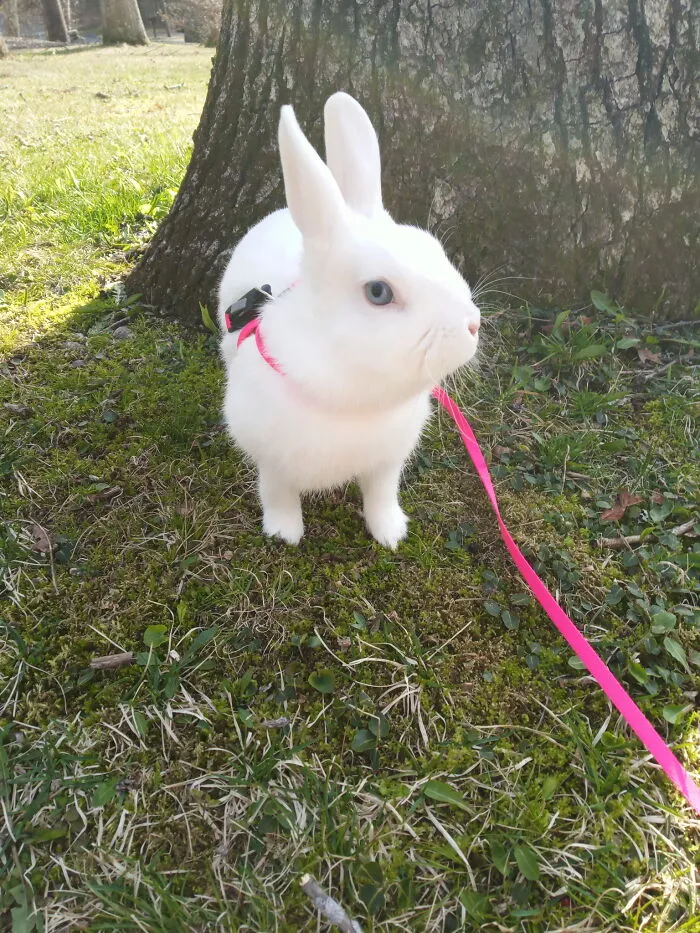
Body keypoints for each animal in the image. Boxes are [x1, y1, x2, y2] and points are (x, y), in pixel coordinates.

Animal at [217, 92, 480, 548]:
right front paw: (285, 533)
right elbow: (277, 493)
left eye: (433, 248)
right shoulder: (271, 459)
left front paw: (390, 532)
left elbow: (380, 494)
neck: (356, 396)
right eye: (378, 292)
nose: (473, 325)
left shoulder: (388, 461)